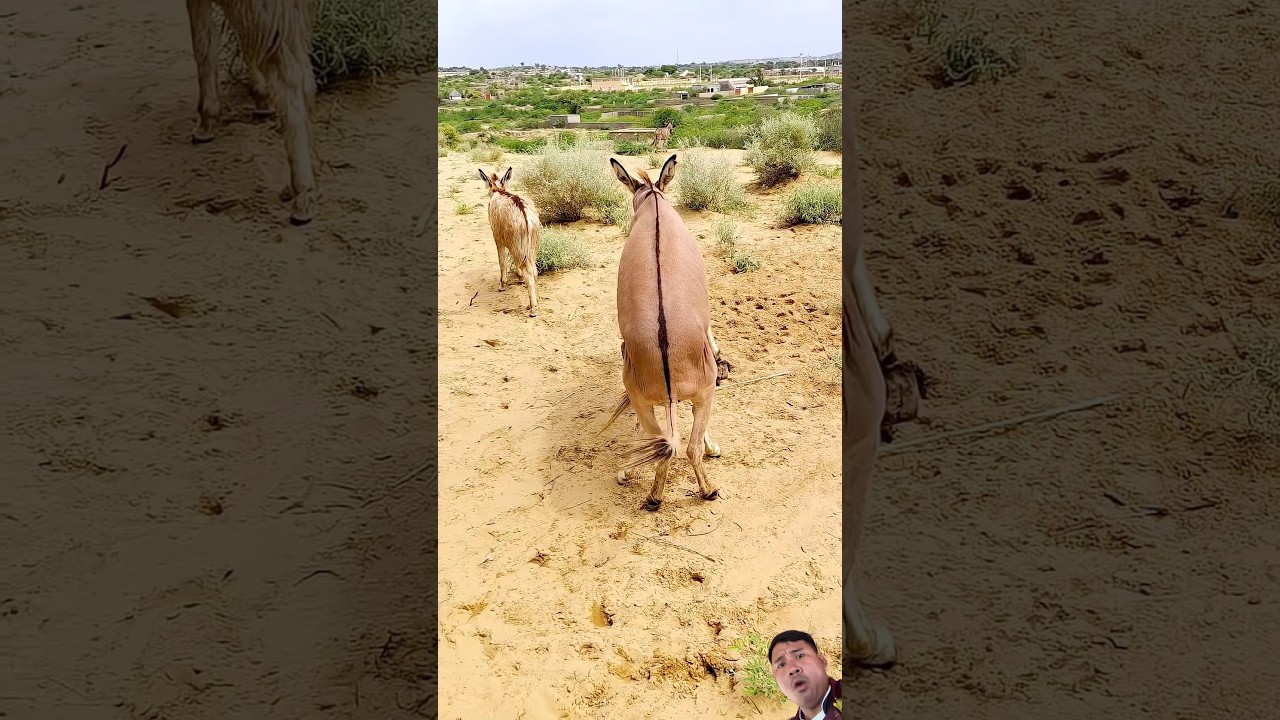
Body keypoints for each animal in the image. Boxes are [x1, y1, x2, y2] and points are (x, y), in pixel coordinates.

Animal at [183, 0, 320, 226]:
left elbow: (203, 45)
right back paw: (297, 184)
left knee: (292, 80)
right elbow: (240, 41)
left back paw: (302, 196)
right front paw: (261, 97)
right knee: (306, 78)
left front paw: (205, 122)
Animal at [478, 166, 541, 317]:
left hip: (518, 245)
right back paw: (531, 304)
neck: (498, 191)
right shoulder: (514, 245)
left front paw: (502, 285)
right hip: (529, 248)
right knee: (534, 272)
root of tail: (525, 214)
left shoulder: (498, 239)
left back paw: (533, 309)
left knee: (529, 272)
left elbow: (502, 262)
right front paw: (518, 278)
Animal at [603, 155, 727, 510]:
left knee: (667, 446)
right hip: (698, 395)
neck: (654, 202)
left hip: (645, 401)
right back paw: (697, 489)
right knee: (687, 448)